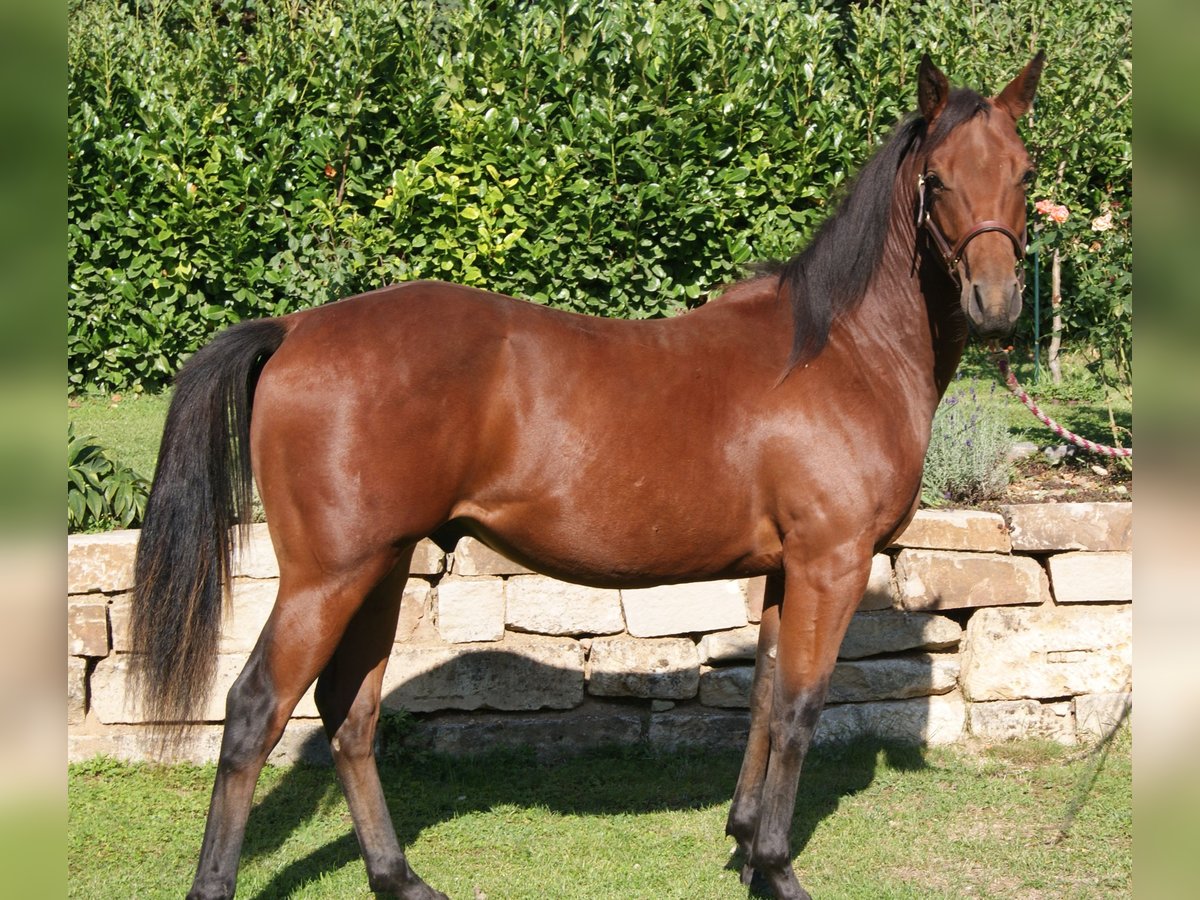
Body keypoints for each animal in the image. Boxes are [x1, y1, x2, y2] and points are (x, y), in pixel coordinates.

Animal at [133, 52, 1041, 897]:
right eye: (936, 177)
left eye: (1024, 171)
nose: (996, 303)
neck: (841, 351)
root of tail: (293, 328)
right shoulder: (831, 563)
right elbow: (799, 707)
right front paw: (778, 868)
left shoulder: (788, 570)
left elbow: (761, 697)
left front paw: (746, 841)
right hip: (327, 578)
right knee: (255, 710)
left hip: (379, 568)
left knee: (348, 713)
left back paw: (399, 876)